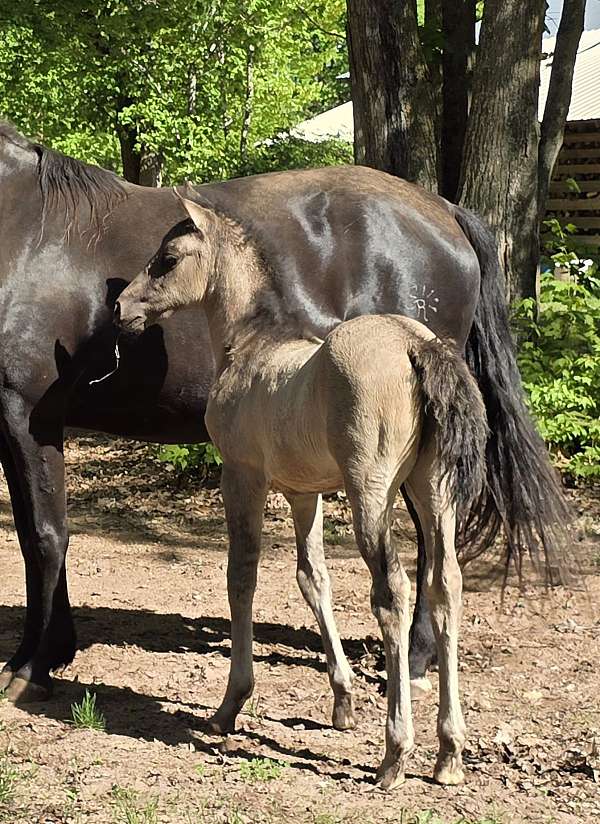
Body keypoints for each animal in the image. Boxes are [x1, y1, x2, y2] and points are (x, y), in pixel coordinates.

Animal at [0, 122, 568, 704]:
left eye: (169, 259)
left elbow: (46, 535)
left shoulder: (29, 417)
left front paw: (33, 665)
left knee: (425, 560)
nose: (120, 307)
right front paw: (48, 651)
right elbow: (29, 534)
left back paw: (412, 661)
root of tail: (445, 209)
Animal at [116, 197, 489, 788]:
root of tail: (415, 344)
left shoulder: (241, 475)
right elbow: (313, 579)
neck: (251, 346)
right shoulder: (302, 493)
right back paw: (449, 753)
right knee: (445, 584)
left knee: (393, 592)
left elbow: (241, 576)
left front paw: (230, 705)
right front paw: (342, 701)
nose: (121, 307)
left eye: (167, 259)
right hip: (432, 487)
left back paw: (395, 754)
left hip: (371, 492)